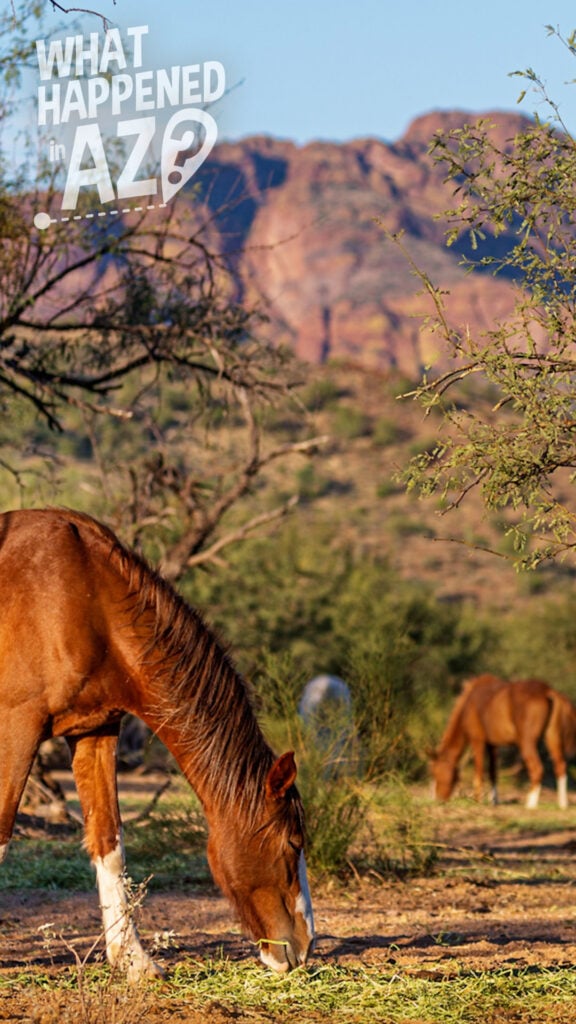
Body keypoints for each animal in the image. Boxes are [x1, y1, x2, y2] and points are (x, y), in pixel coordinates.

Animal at [0, 508, 315, 977]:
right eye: (293, 844)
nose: (305, 944)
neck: (81, 596)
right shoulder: (16, 726)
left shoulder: (94, 730)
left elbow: (108, 841)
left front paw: (134, 962)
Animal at [429, 674, 576, 808]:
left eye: (437, 773)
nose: (438, 799)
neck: (468, 702)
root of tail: (547, 691)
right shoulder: (493, 745)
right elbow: (493, 773)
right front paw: (494, 801)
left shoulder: (477, 741)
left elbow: (479, 772)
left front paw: (477, 801)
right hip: (552, 738)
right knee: (560, 766)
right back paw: (562, 804)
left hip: (526, 742)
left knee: (537, 768)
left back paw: (530, 804)